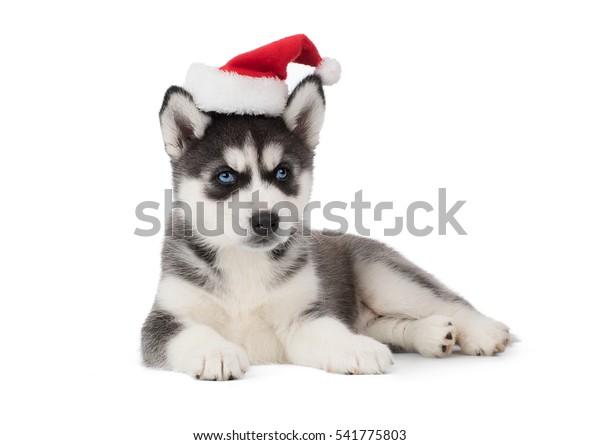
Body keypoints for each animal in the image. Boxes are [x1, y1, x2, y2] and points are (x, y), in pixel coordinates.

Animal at [141, 75, 510, 378]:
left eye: (283, 173)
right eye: (225, 176)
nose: (266, 219)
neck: (244, 264)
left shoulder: (302, 315)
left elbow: (331, 332)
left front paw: (354, 348)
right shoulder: (163, 319)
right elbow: (191, 332)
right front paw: (215, 352)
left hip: (385, 278)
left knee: (448, 301)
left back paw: (484, 331)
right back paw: (432, 334)